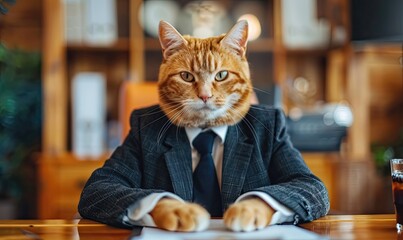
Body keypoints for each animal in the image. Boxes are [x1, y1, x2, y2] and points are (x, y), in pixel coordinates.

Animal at [150, 21, 276, 232]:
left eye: (221, 75)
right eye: (186, 76)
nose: (204, 96)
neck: (206, 128)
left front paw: (246, 211)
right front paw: (182, 211)